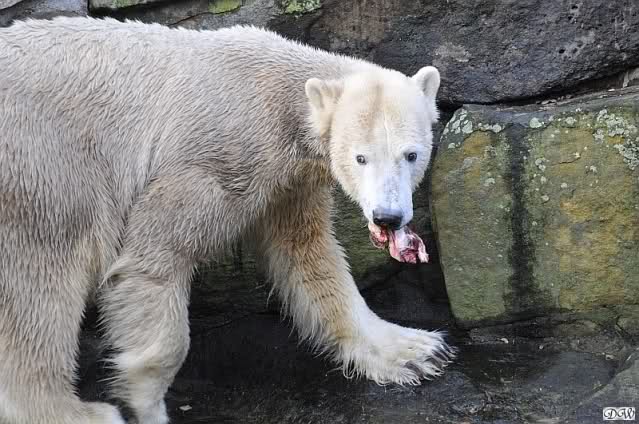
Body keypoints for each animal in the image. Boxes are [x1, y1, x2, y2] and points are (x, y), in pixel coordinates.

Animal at [0, 16, 454, 424]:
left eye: (411, 154)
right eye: (360, 157)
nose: (388, 217)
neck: (281, 98)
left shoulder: (290, 182)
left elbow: (308, 254)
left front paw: (417, 350)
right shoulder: (220, 155)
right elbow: (157, 254)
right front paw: (147, 402)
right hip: (42, 157)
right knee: (44, 272)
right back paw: (75, 412)